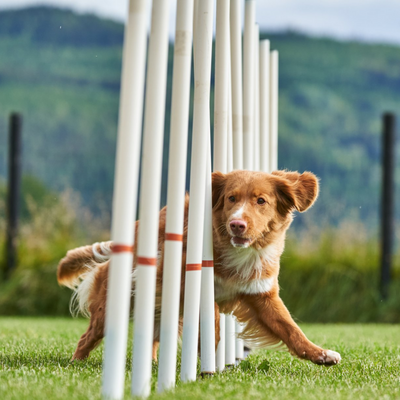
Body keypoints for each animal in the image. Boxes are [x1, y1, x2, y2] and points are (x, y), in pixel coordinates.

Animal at [57, 169, 342, 366]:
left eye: (261, 201)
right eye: (231, 199)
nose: (237, 224)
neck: (235, 252)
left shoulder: (261, 294)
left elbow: (290, 328)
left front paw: (321, 354)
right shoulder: (182, 279)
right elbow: (212, 311)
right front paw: (208, 348)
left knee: (152, 338)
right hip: (113, 305)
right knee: (88, 336)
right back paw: (76, 363)